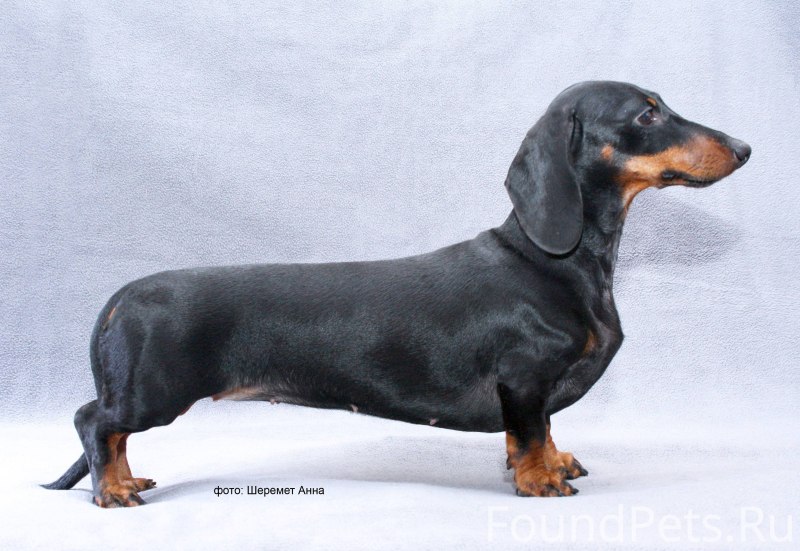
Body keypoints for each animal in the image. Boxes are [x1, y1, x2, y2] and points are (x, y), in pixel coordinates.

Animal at [43, 81, 750, 506]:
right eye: (647, 113)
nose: (745, 146)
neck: (554, 263)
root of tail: (121, 296)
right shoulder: (524, 379)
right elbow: (529, 432)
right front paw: (538, 480)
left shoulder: (534, 389)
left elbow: (545, 430)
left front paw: (556, 461)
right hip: (154, 392)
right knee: (94, 421)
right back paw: (113, 490)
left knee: (109, 432)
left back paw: (123, 477)